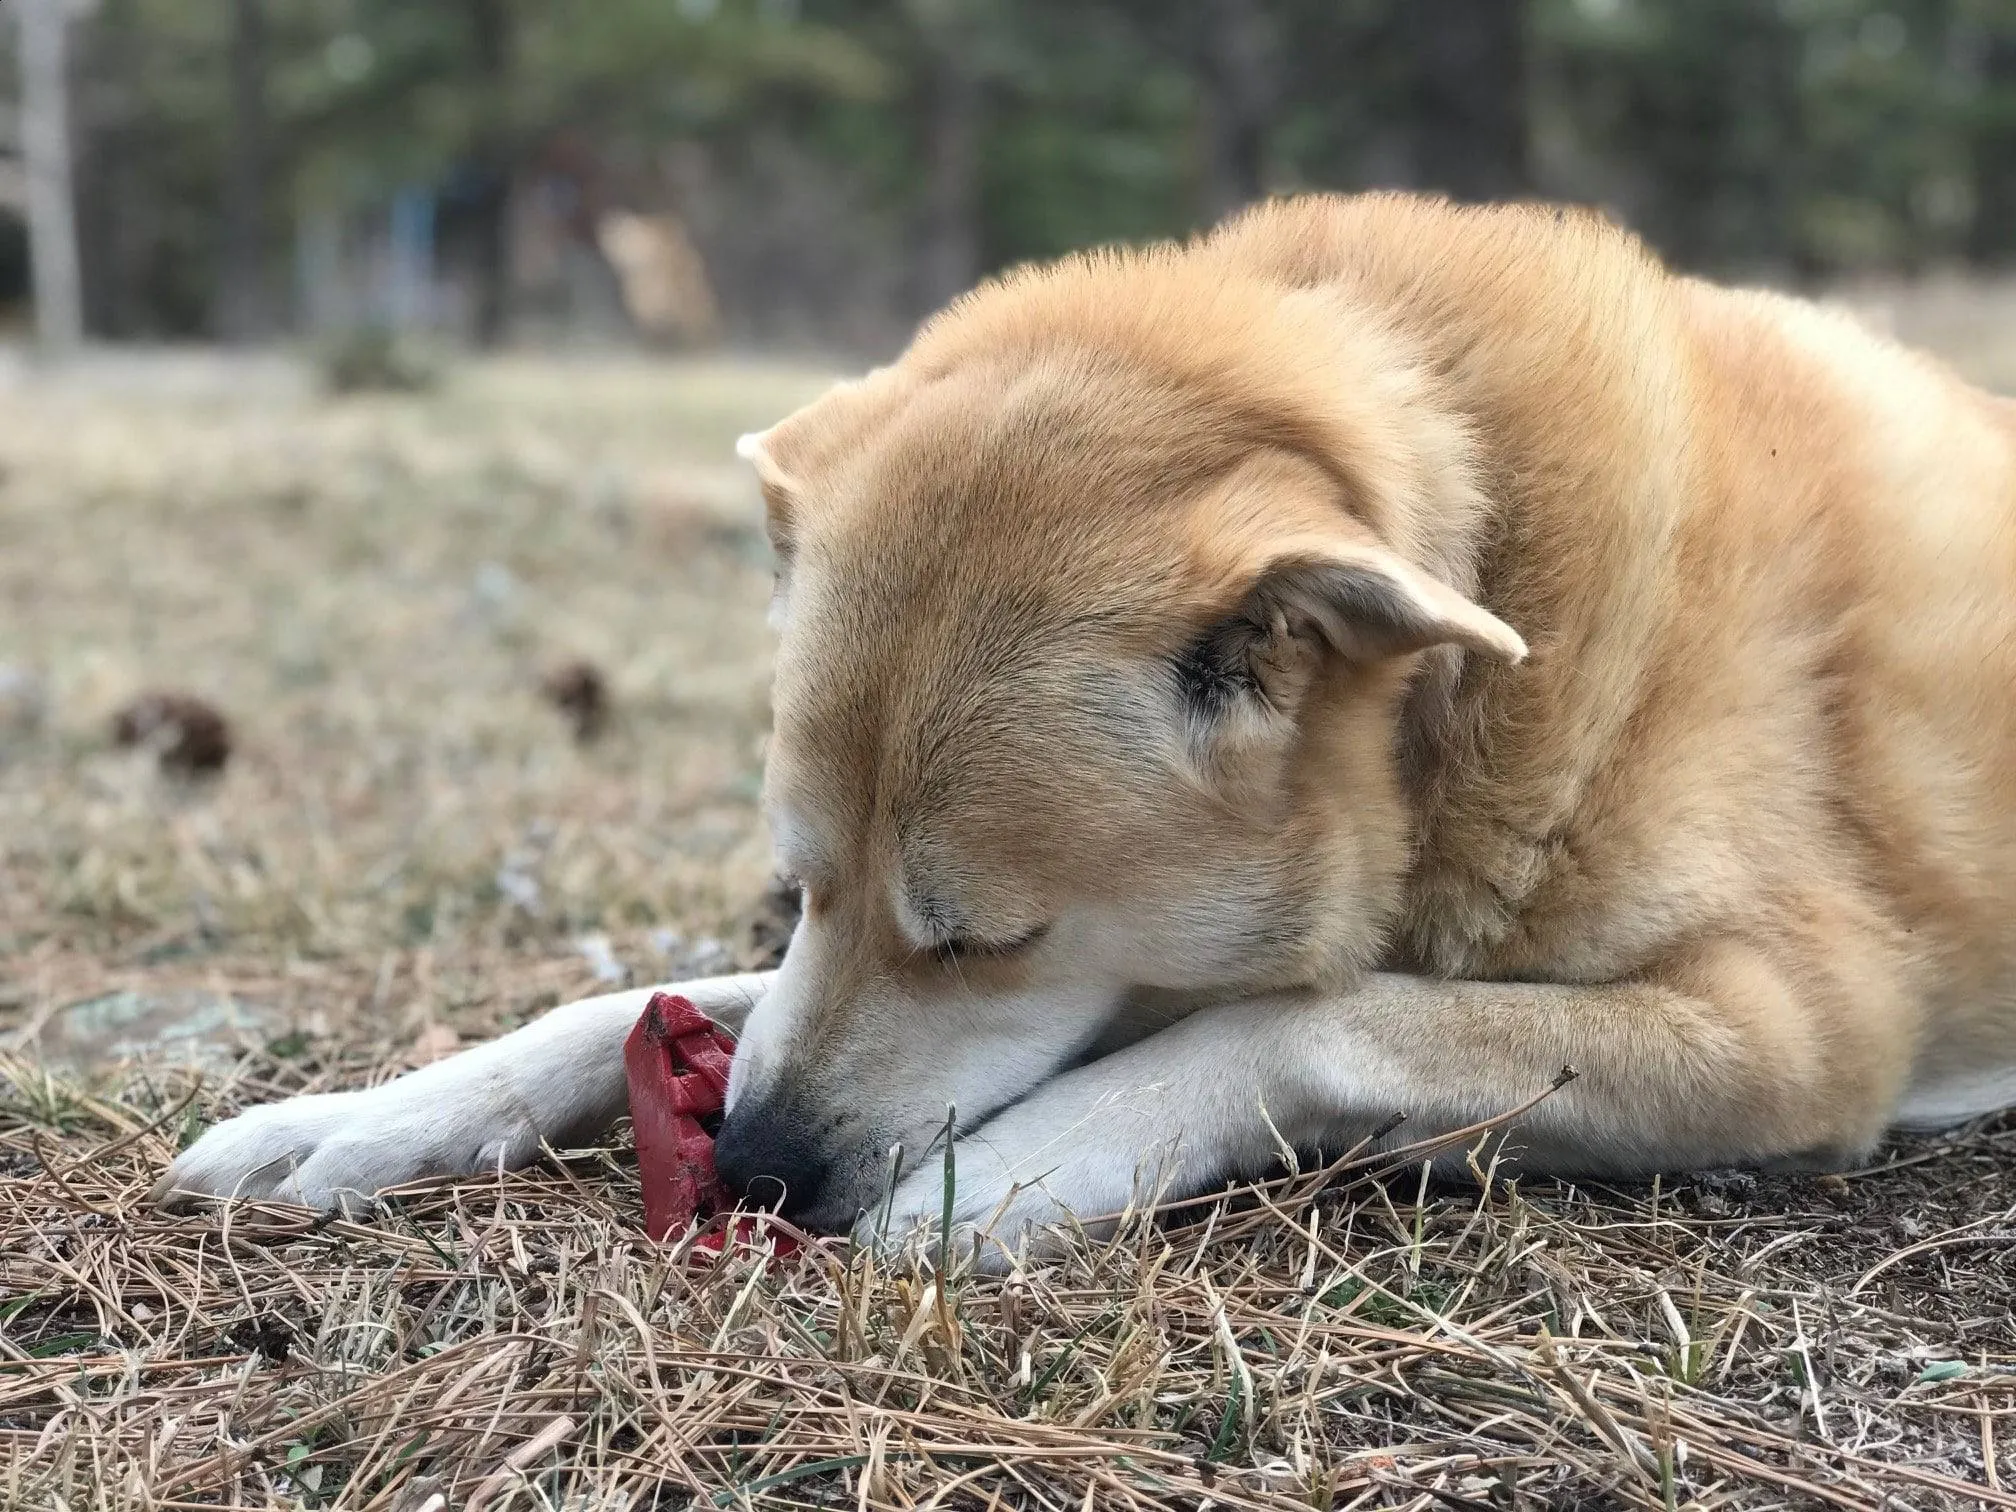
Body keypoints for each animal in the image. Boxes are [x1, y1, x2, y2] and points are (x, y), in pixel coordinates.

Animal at [157, 195, 2016, 1257]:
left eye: (990, 939)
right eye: (795, 885)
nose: (749, 1167)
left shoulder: (1796, 1028)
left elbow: (1317, 1015)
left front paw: (1016, 1170)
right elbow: (630, 999)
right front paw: (360, 1117)